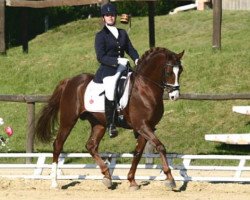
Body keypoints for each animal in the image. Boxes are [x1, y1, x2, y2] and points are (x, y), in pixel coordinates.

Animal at [35, 47, 184, 191]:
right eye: (168, 72)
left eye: (180, 71)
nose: (175, 96)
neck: (145, 88)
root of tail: (70, 81)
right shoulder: (142, 126)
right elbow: (160, 147)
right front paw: (170, 179)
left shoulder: (147, 127)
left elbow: (138, 153)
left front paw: (132, 181)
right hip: (68, 120)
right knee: (58, 145)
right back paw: (54, 183)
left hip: (99, 123)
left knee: (91, 146)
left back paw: (107, 176)